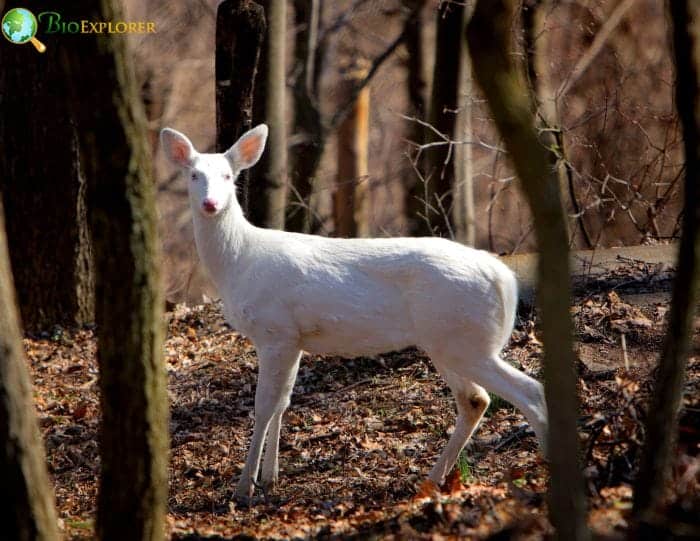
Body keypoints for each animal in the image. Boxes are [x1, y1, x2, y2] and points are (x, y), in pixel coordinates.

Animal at [160, 124, 548, 504]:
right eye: (194, 174)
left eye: (228, 176)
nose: (210, 204)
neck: (239, 263)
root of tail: (504, 278)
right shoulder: (294, 338)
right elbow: (283, 402)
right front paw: (271, 479)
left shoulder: (274, 331)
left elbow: (264, 405)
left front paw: (245, 488)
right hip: (449, 341)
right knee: (476, 400)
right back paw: (431, 481)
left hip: (466, 339)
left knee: (530, 391)